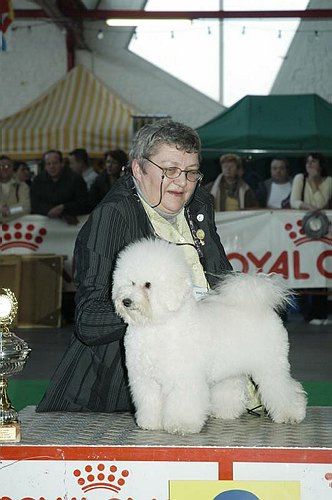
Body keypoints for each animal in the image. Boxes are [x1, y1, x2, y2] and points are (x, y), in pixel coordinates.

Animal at [113, 238, 308, 434]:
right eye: (130, 282)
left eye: (148, 285)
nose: (126, 301)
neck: (157, 325)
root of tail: (261, 307)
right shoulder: (145, 380)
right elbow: (150, 401)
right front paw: (150, 422)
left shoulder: (184, 377)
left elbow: (183, 403)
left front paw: (182, 425)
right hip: (231, 365)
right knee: (232, 387)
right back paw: (225, 412)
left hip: (271, 364)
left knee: (282, 387)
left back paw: (291, 414)